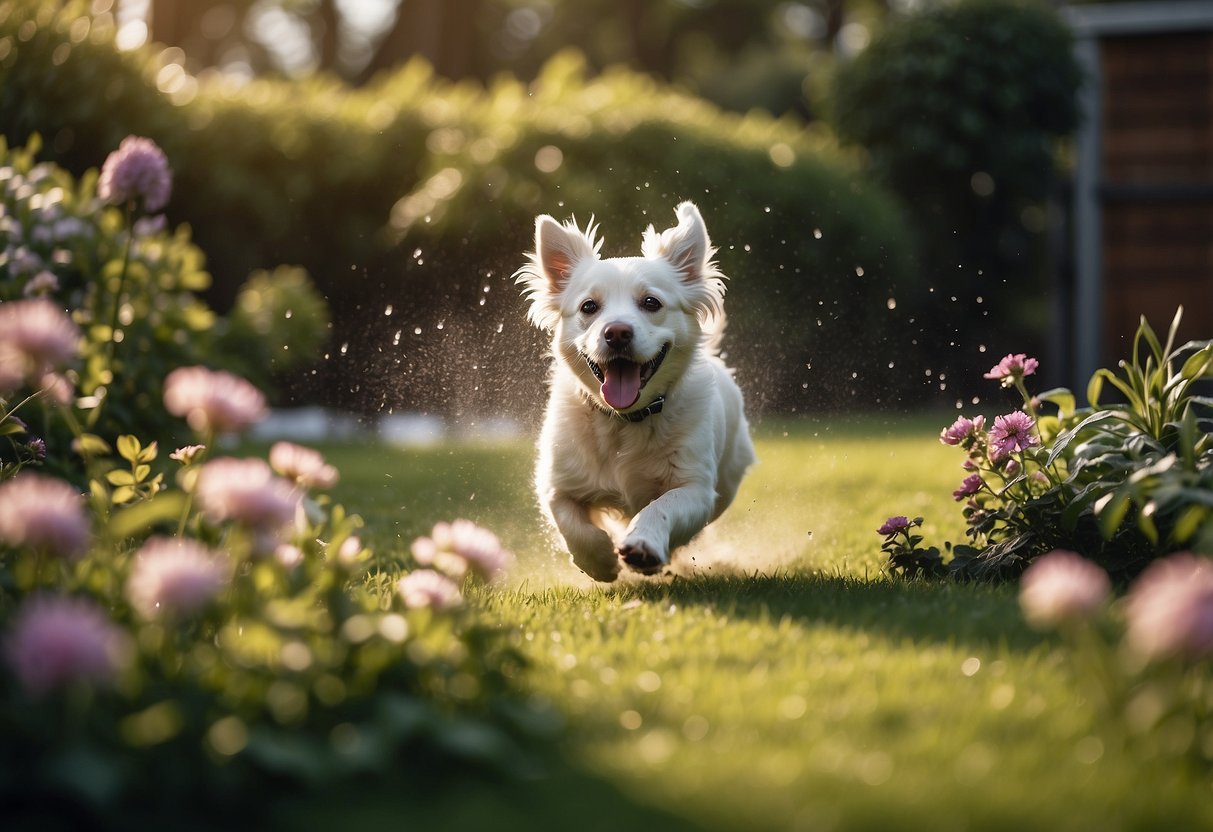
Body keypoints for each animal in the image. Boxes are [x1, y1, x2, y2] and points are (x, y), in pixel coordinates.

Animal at [514, 202, 756, 584]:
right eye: (588, 307)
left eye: (651, 302)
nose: (617, 332)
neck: (624, 419)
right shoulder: (557, 483)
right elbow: (571, 523)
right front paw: (599, 560)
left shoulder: (696, 488)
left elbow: (661, 506)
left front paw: (643, 546)